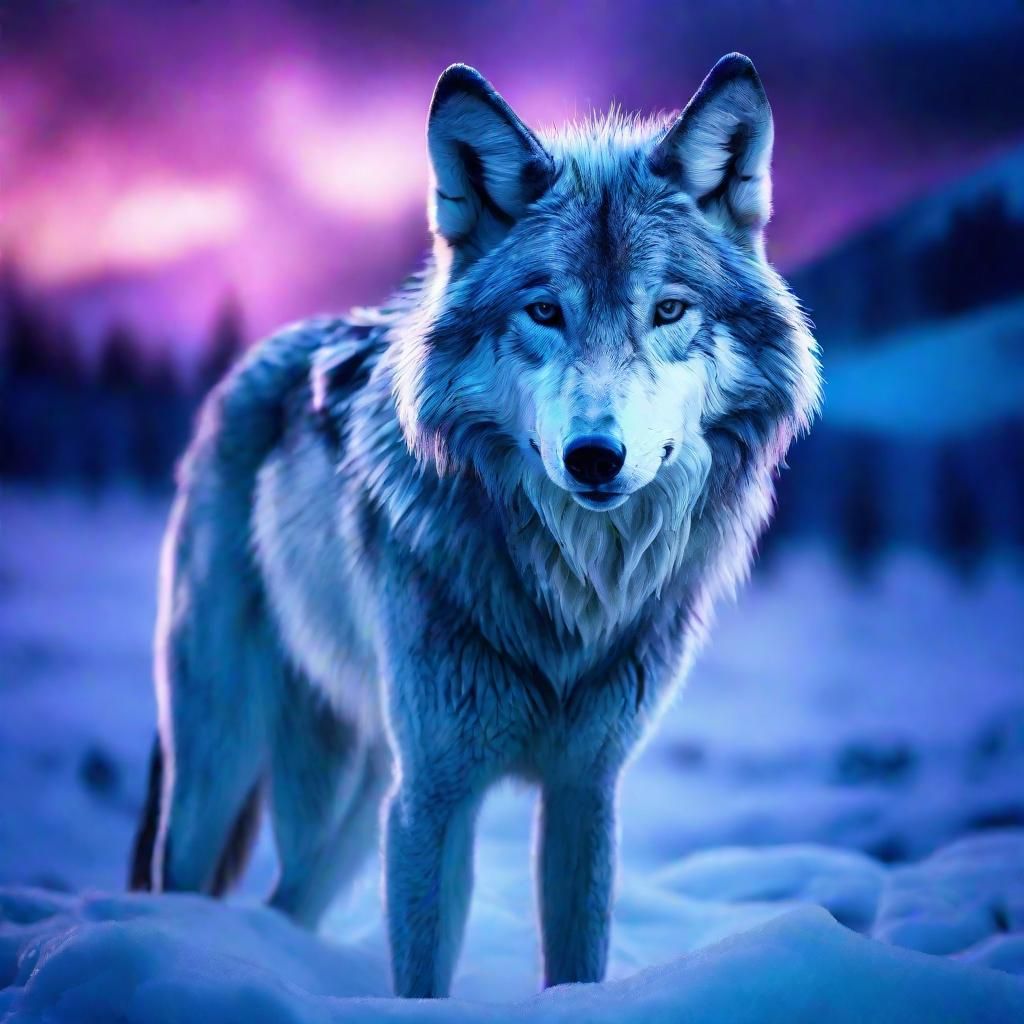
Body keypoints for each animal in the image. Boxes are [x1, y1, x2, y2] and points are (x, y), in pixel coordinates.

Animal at [130, 53, 820, 997]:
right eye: (545, 312)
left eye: (669, 311)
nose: (594, 457)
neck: (572, 596)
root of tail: (256, 361)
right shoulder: (434, 794)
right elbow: (422, 973)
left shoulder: (585, 789)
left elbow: (577, 964)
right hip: (228, 760)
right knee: (183, 883)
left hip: (356, 793)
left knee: (287, 903)